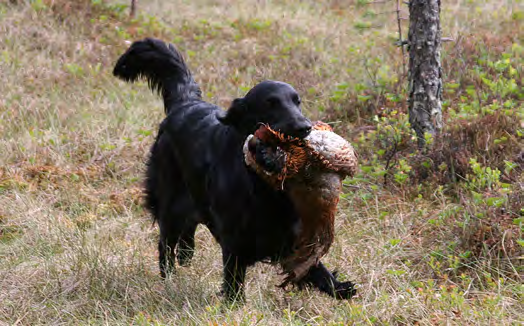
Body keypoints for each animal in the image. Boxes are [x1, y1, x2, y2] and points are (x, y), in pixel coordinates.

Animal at [112, 37, 354, 300]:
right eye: (271, 104)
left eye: (297, 102)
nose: (304, 127)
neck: (261, 185)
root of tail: (186, 103)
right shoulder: (235, 239)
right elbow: (234, 281)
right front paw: (233, 303)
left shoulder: (289, 234)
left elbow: (314, 266)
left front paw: (338, 287)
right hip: (169, 203)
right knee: (165, 242)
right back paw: (169, 277)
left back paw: (186, 257)